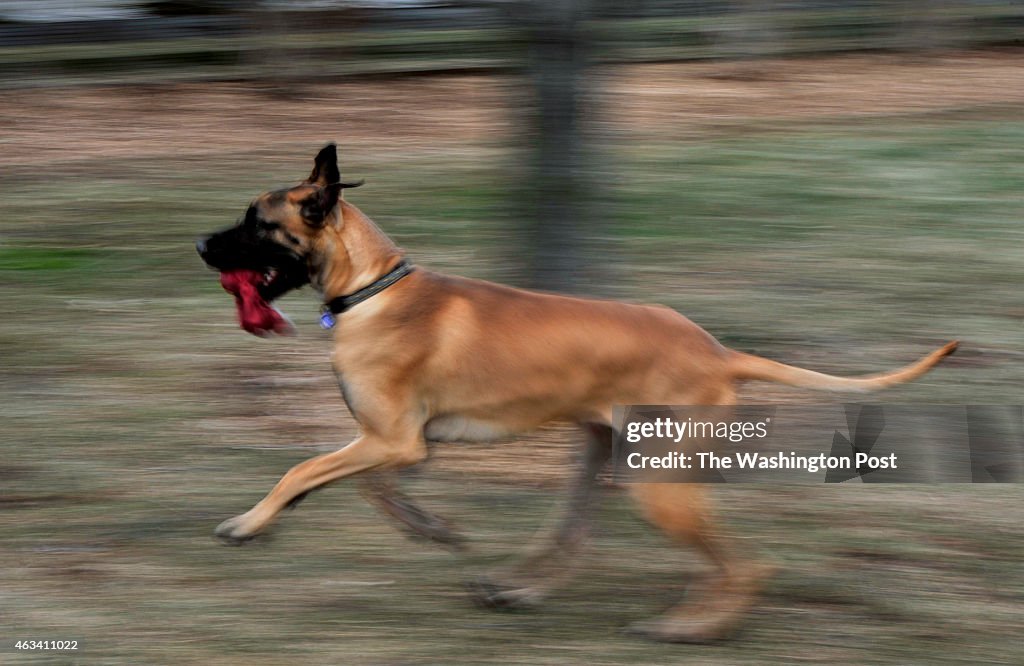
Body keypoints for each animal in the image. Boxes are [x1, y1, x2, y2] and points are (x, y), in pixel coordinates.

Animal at [195, 142, 954, 639]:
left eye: (257, 222)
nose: (201, 245)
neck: (373, 286)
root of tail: (719, 353)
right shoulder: (402, 444)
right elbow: (370, 489)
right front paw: (428, 526)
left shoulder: (391, 439)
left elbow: (303, 468)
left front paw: (248, 523)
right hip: (602, 460)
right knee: (573, 537)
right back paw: (516, 589)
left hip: (659, 481)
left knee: (748, 564)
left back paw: (690, 627)